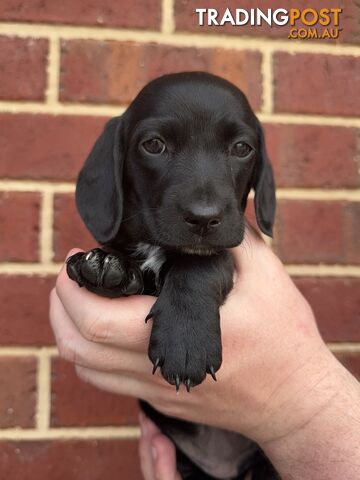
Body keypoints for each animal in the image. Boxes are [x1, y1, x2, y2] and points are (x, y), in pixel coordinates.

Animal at [67, 72, 276, 480]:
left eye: (242, 148)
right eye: (153, 145)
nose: (204, 218)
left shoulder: (222, 251)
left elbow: (202, 265)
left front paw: (186, 341)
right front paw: (104, 265)